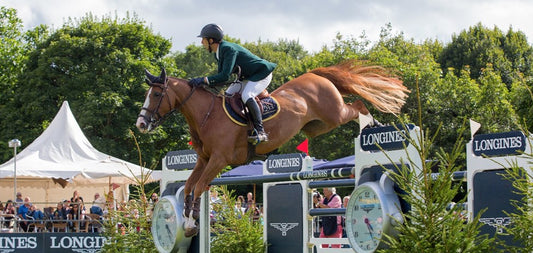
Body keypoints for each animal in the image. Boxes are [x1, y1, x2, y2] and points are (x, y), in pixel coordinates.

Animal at [134, 60, 408, 236]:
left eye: (156, 94)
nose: (141, 124)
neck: (206, 115)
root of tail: (316, 75)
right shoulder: (203, 160)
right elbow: (190, 188)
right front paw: (187, 223)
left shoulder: (219, 160)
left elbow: (200, 187)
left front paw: (190, 225)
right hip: (319, 126)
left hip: (334, 113)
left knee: (358, 106)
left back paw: (372, 126)